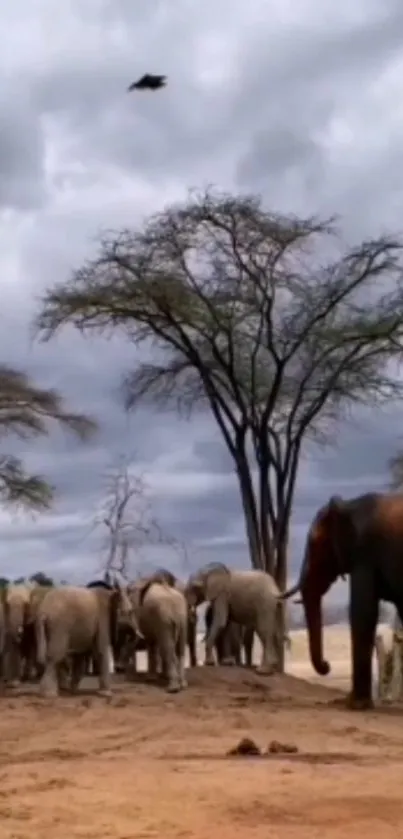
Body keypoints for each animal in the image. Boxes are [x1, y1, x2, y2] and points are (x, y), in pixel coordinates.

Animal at [280, 492, 403, 708]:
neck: (349, 505)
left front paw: (354, 705)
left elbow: (362, 612)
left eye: (315, 543)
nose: (326, 665)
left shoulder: (365, 554)